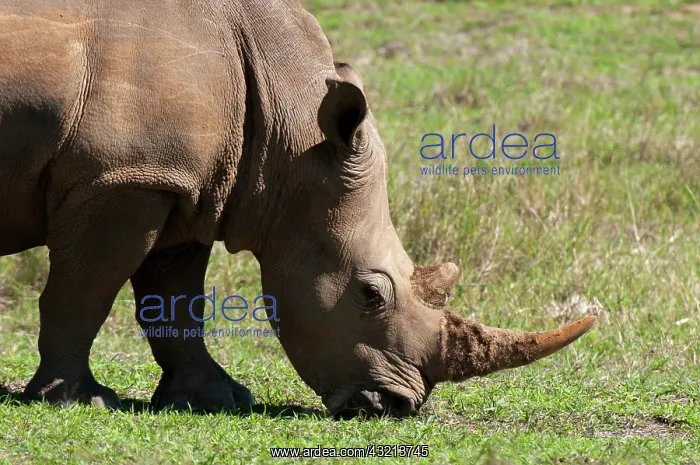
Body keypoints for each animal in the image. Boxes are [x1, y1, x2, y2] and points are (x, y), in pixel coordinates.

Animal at [0, 0, 596, 417]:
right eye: (370, 294)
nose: (397, 407)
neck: (292, 138)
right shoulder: (122, 178)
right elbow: (84, 294)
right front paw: (79, 401)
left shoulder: (182, 185)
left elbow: (175, 302)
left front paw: (216, 399)